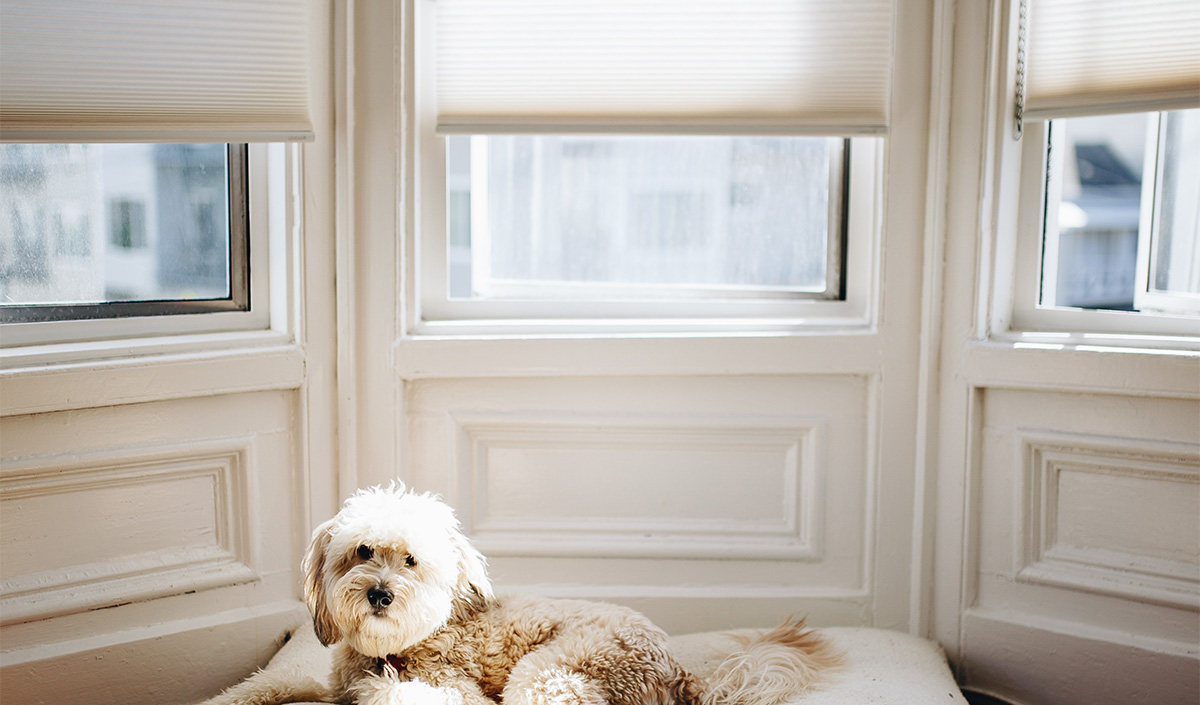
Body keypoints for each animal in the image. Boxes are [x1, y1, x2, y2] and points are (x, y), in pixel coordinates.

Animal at [201, 484, 840, 705]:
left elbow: (399, 694)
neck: (394, 650)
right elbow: (270, 683)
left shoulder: (451, 691)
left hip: (547, 673)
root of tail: (677, 668)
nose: (380, 594)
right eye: (362, 551)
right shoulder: (325, 685)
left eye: (411, 562)